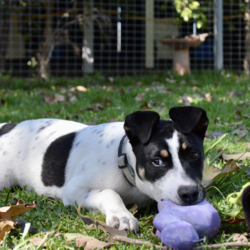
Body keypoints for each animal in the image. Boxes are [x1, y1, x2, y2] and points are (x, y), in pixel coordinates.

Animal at [0, 106, 208, 232]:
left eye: (194, 155)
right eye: (157, 161)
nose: (189, 194)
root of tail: (9, 127)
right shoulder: (74, 189)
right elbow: (109, 192)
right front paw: (122, 216)